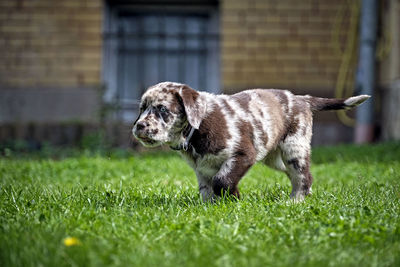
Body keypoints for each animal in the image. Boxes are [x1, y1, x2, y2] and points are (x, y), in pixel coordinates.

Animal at [133, 82, 370, 202]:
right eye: (142, 108)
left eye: (162, 109)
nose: (139, 126)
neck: (197, 129)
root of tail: (302, 98)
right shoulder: (201, 169)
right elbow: (207, 190)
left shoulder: (243, 154)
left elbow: (223, 180)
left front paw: (235, 199)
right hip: (274, 159)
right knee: (298, 175)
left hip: (294, 148)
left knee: (303, 176)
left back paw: (295, 201)